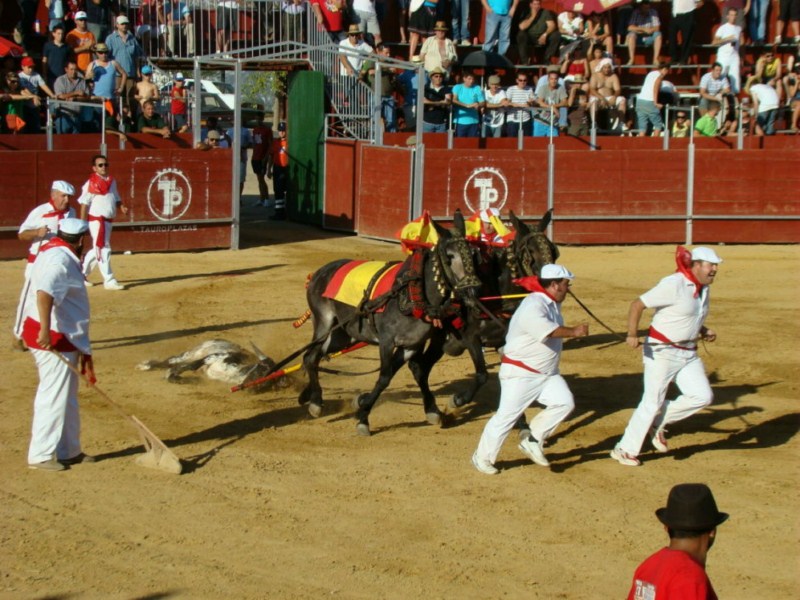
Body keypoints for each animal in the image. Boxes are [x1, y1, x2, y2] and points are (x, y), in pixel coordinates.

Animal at [296, 220, 478, 436]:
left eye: (473, 253)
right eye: (449, 257)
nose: (473, 289)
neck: (412, 293)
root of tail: (318, 273)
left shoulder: (412, 344)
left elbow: (412, 373)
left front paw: (432, 410)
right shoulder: (387, 341)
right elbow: (384, 377)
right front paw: (363, 418)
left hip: (344, 334)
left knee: (314, 356)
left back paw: (308, 395)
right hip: (324, 322)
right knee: (312, 356)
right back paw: (316, 402)